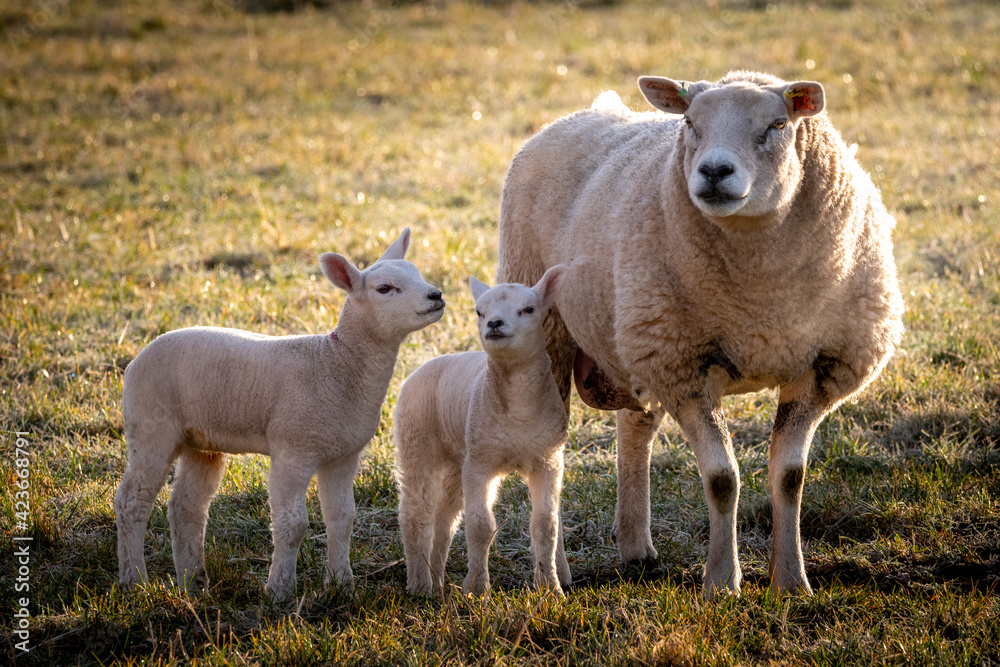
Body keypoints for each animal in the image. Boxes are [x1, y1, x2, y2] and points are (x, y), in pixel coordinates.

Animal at [115, 228, 445, 602]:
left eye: (418, 274)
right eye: (385, 288)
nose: (436, 295)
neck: (335, 363)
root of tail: (137, 359)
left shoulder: (344, 455)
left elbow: (342, 518)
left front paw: (341, 583)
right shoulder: (292, 449)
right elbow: (292, 524)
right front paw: (280, 590)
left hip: (201, 440)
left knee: (186, 507)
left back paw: (193, 582)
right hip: (151, 425)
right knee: (132, 501)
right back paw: (134, 580)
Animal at [394, 265, 572, 596]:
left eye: (529, 309)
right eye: (479, 311)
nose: (494, 323)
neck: (519, 411)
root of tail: (422, 367)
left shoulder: (548, 460)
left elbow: (545, 524)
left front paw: (550, 587)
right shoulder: (480, 464)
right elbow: (480, 526)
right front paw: (477, 589)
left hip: (458, 456)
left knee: (444, 517)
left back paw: (437, 580)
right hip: (416, 439)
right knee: (417, 512)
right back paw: (420, 584)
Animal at [497, 71, 904, 597]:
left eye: (777, 124)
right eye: (690, 122)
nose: (713, 171)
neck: (763, 299)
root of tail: (584, 112)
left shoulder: (818, 368)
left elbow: (790, 476)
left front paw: (792, 581)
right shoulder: (686, 369)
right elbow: (722, 480)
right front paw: (722, 582)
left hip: (635, 336)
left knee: (635, 428)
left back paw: (637, 549)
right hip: (553, 332)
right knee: (551, 454)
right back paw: (556, 574)